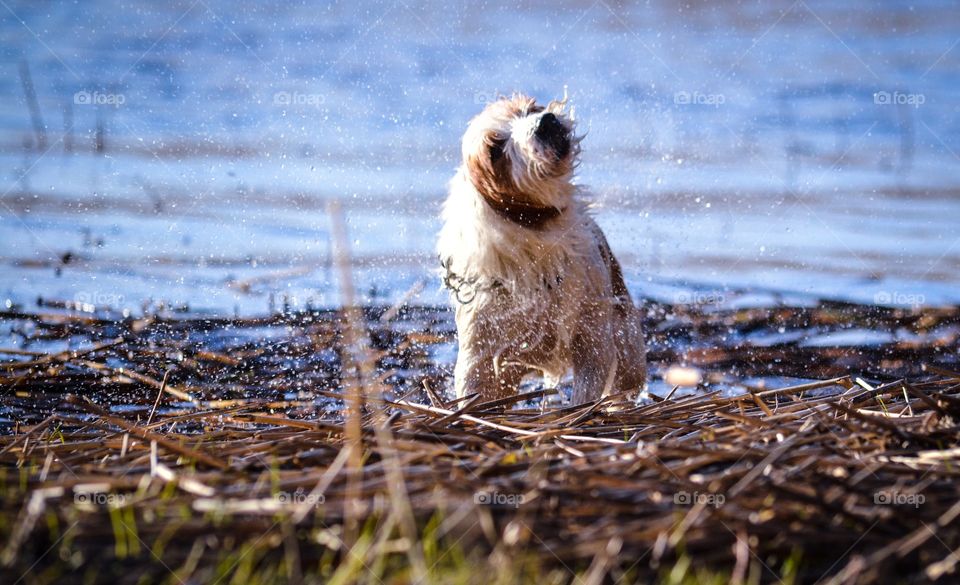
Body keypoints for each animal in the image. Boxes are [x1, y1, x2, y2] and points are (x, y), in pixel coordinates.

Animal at [438, 93, 648, 404]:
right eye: (495, 150)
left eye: (529, 108)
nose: (545, 121)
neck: (538, 234)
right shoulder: (481, 353)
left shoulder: (593, 339)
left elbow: (588, 386)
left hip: (629, 354)